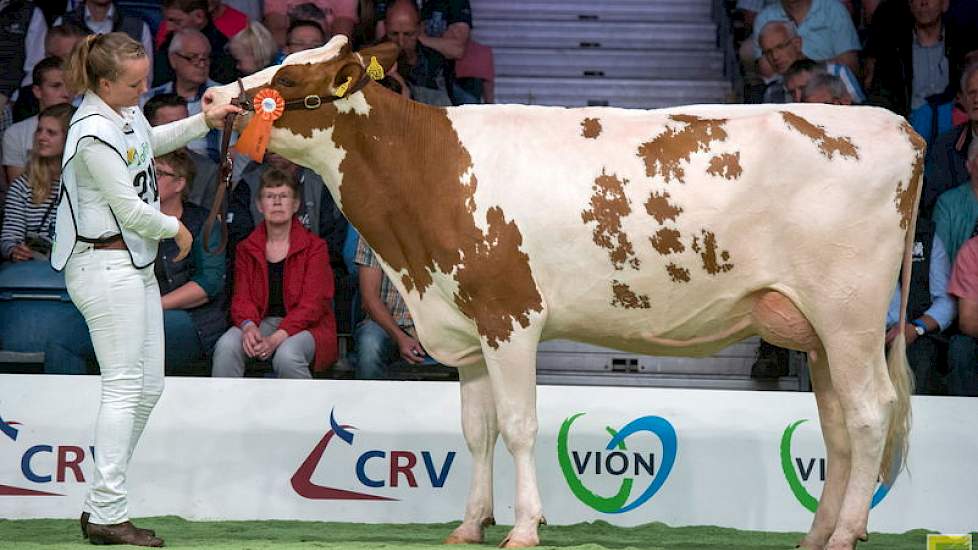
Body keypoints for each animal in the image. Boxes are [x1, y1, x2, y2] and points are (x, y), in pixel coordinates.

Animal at [206, 36, 924, 548]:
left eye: (288, 80)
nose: (213, 97)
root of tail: (895, 124)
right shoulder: (468, 325)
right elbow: (477, 430)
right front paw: (470, 525)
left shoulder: (509, 315)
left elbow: (520, 425)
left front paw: (524, 528)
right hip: (815, 329)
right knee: (836, 424)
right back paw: (818, 534)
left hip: (849, 314)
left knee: (870, 413)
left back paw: (845, 535)